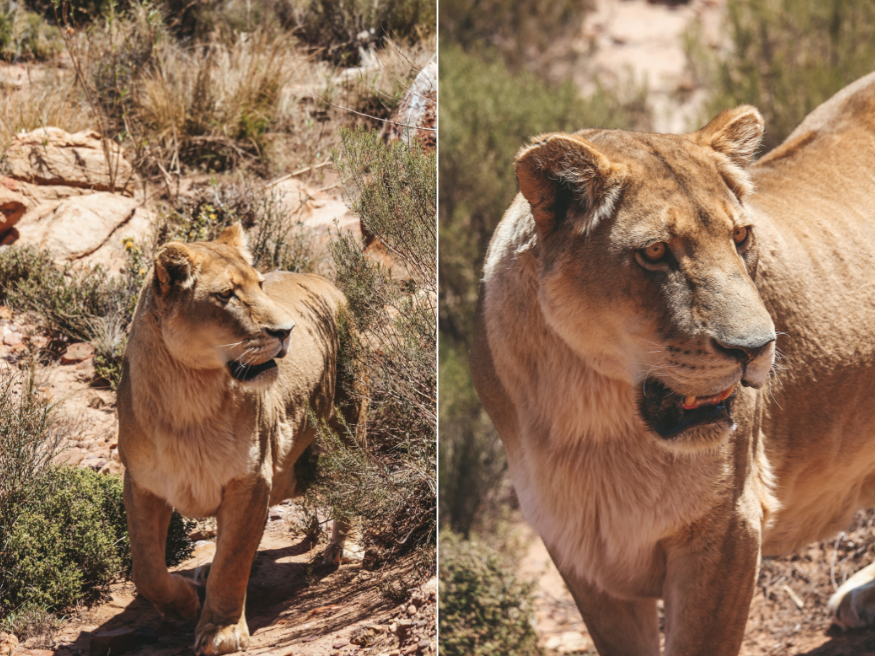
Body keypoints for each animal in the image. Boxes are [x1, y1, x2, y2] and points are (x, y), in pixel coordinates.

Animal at [117, 224, 366, 655]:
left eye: (260, 285)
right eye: (226, 295)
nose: (286, 332)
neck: (188, 397)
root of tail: (323, 279)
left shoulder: (250, 481)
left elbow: (231, 562)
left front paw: (221, 629)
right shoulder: (143, 485)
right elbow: (145, 569)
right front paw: (183, 604)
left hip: (346, 422)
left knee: (360, 479)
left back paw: (340, 549)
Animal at [470, 72, 875, 654]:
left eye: (741, 237)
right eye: (656, 252)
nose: (757, 348)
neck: (597, 422)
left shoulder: (727, 531)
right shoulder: (581, 556)